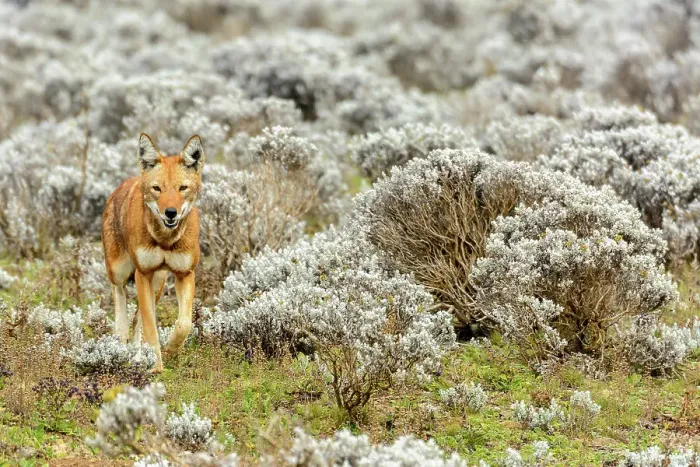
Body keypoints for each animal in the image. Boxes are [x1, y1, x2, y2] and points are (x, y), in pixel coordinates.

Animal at [101, 133, 204, 372]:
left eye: (182, 188)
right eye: (157, 189)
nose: (171, 212)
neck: (165, 241)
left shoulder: (185, 274)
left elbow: (183, 324)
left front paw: (170, 349)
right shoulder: (142, 274)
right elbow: (150, 327)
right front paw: (157, 367)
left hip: (158, 283)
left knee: (137, 318)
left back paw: (137, 355)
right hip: (119, 271)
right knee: (120, 297)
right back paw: (120, 341)